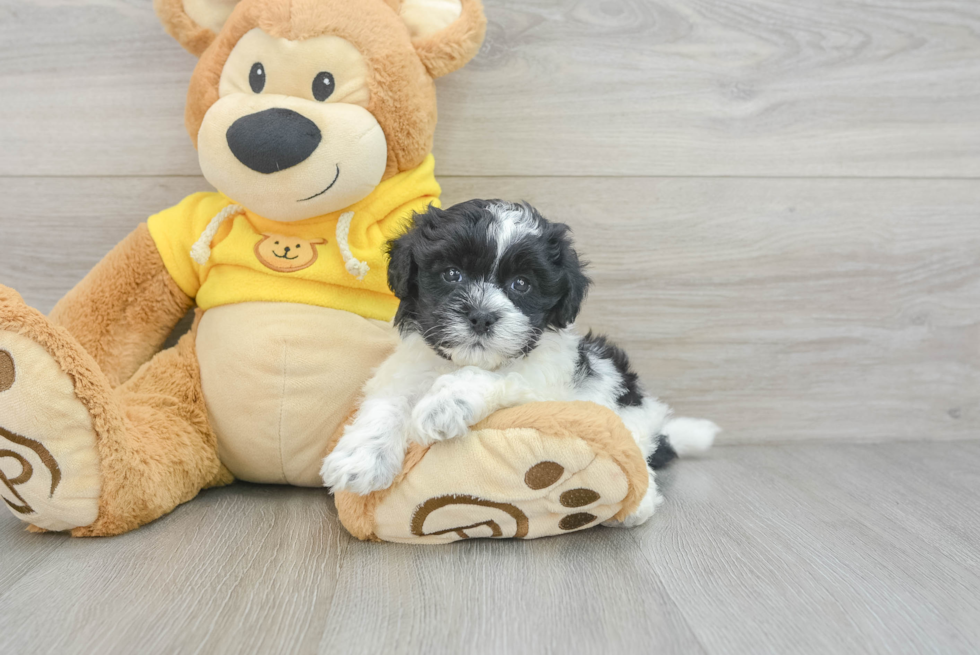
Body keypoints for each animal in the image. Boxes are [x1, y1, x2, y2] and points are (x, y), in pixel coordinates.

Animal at [324, 200, 720, 528]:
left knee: (638, 451)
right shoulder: (404, 370)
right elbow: (387, 403)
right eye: (452, 274)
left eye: (521, 284)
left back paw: (638, 504)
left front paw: (444, 404)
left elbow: (488, 376)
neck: (455, 362)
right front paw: (361, 458)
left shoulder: (542, 381)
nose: (482, 316)